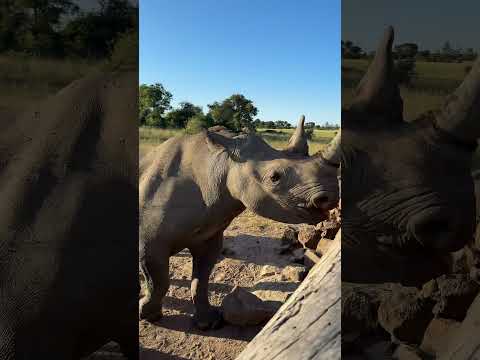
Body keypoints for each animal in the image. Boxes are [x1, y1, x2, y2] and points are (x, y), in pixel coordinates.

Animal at [139, 116, 342, 330]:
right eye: (274, 178)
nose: (331, 196)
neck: (221, 164)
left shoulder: (209, 235)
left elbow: (201, 279)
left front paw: (208, 323)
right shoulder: (150, 242)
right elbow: (159, 281)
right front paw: (149, 315)